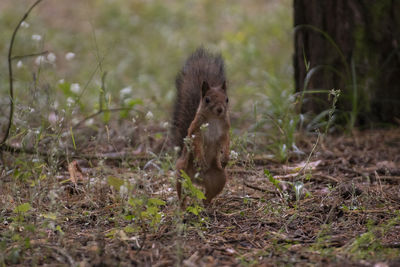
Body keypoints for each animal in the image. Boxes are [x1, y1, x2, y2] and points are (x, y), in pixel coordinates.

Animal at [170, 48, 230, 206]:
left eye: (227, 99)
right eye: (207, 99)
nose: (220, 109)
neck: (214, 119)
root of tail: (198, 180)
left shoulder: (225, 130)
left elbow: (226, 141)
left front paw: (225, 157)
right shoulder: (196, 129)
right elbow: (196, 143)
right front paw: (201, 159)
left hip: (219, 177)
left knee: (208, 195)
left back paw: (206, 206)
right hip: (182, 172)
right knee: (181, 192)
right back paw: (182, 207)